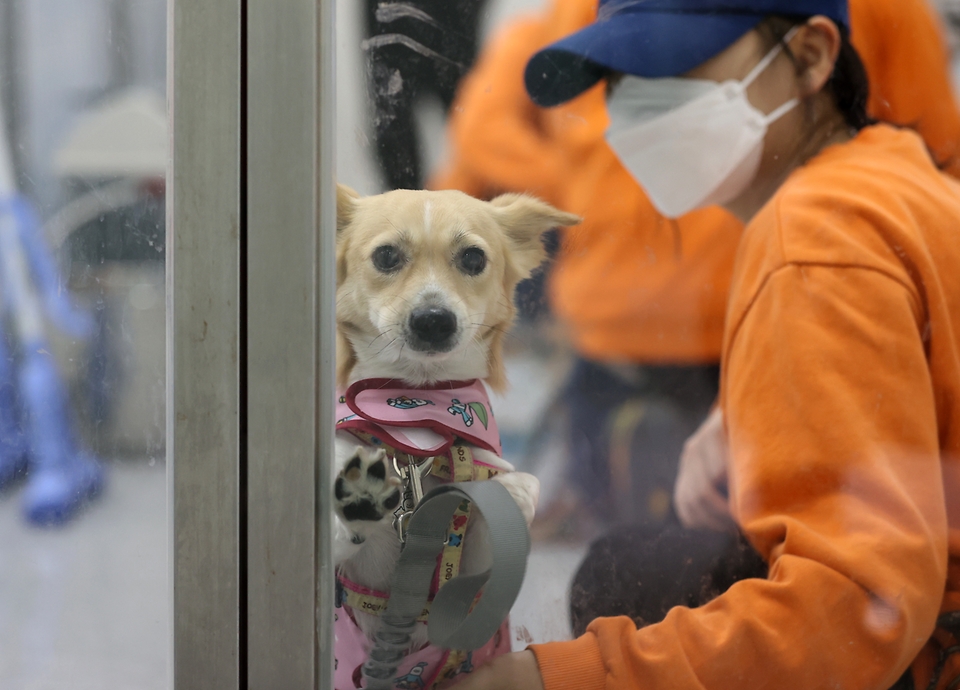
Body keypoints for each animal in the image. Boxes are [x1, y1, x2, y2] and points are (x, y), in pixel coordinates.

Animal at [334, 181, 576, 684]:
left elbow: (517, 486)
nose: (433, 319)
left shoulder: (478, 562)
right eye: (386, 256)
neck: (418, 424)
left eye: (473, 258)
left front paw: (512, 493)